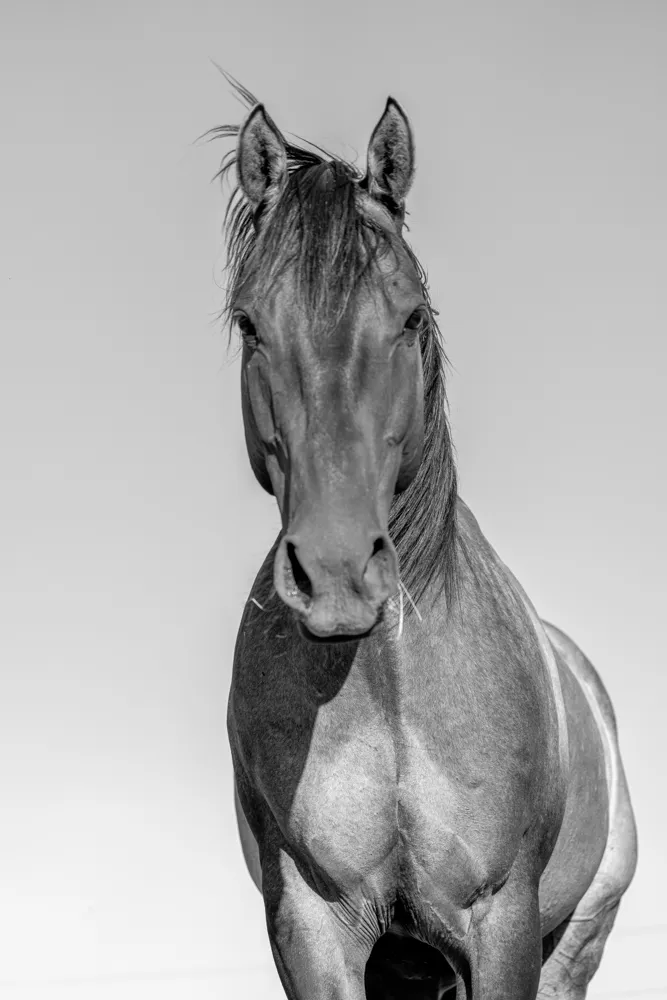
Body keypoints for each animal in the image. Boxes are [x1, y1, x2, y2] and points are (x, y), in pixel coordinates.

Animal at [212, 81, 637, 999]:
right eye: (251, 325)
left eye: (409, 316)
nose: (337, 574)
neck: (387, 683)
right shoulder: (312, 927)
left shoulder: (500, 924)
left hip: (572, 944)